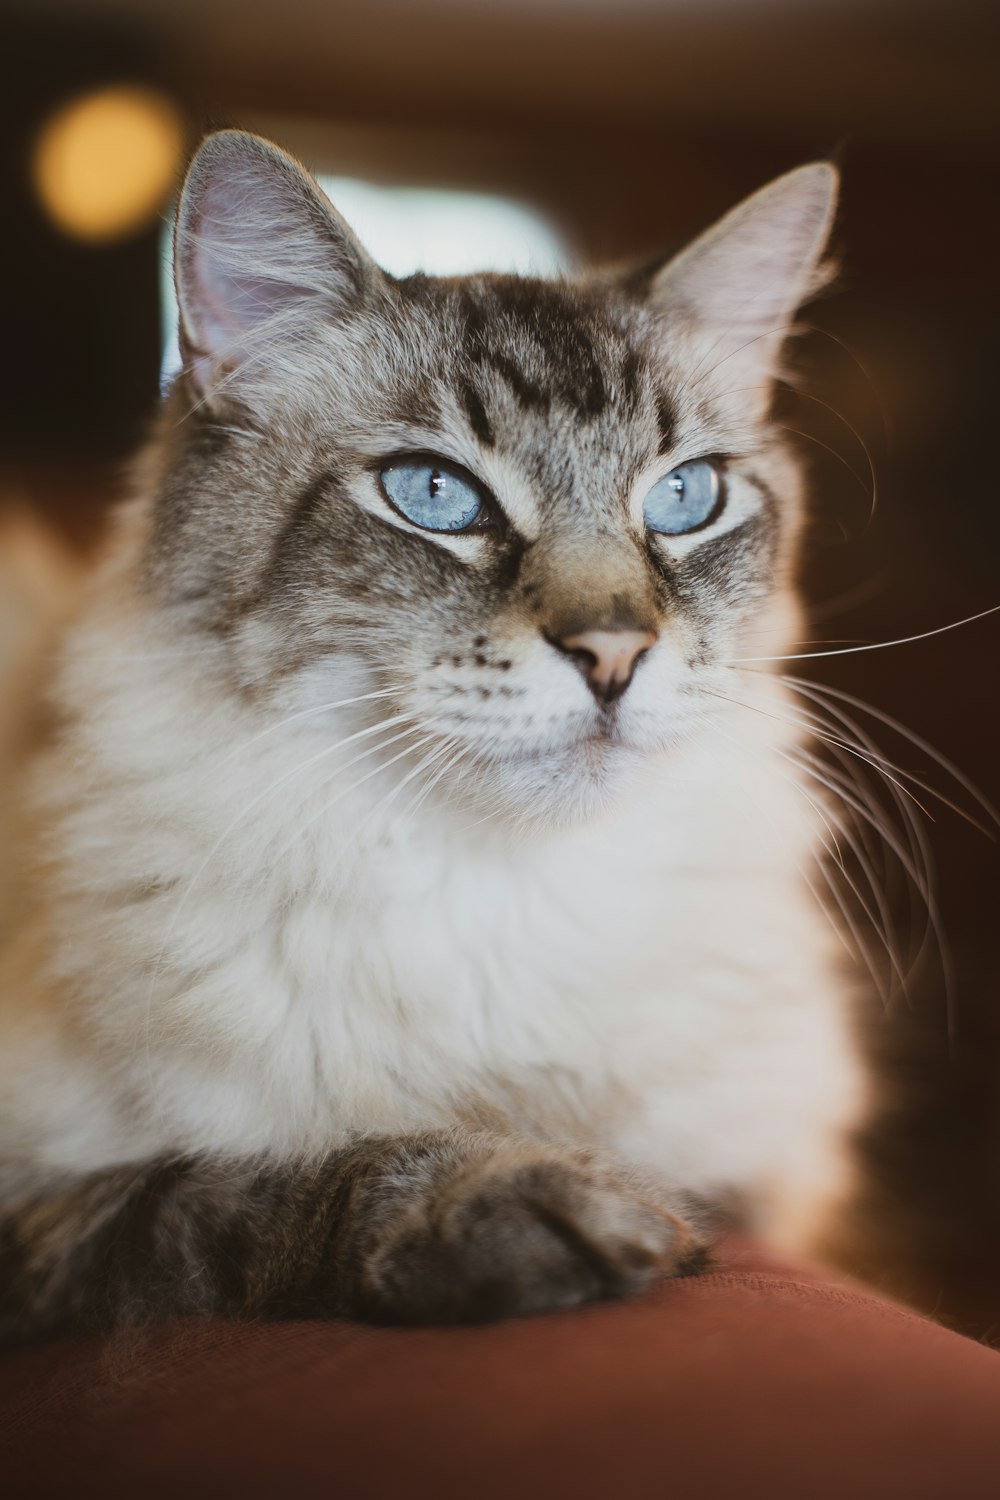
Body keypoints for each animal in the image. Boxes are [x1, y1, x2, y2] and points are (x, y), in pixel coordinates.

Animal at [0, 129, 869, 1338]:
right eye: (435, 494)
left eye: (684, 499)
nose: (614, 653)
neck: (502, 893)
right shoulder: (49, 1220)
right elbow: (271, 1190)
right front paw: (547, 1205)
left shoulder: (763, 1181)